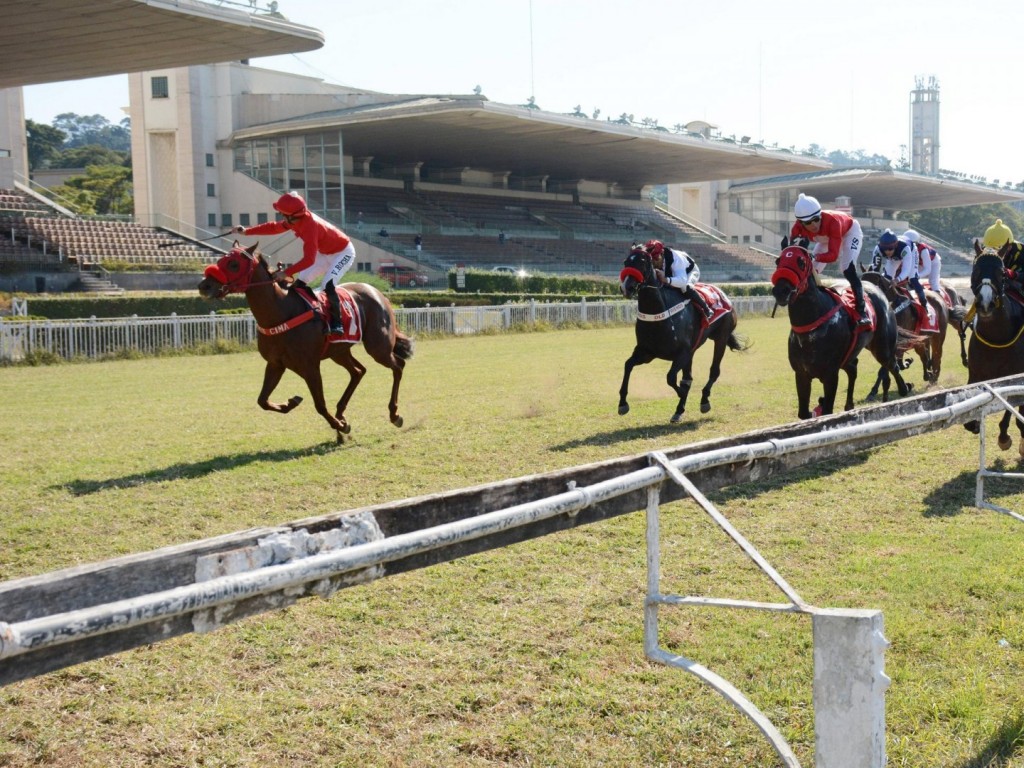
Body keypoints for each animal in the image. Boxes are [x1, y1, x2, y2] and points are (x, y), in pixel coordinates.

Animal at [195, 243, 411, 442]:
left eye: (233, 264)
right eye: (221, 260)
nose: (204, 286)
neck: (280, 312)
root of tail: (378, 293)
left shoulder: (310, 366)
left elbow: (320, 405)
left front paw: (341, 425)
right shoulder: (275, 364)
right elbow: (262, 400)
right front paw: (292, 403)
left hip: (378, 346)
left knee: (398, 365)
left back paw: (394, 414)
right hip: (338, 351)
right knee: (358, 371)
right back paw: (341, 413)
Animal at [610, 246, 749, 423]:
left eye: (642, 262)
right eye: (626, 262)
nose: (626, 287)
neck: (658, 314)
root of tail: (722, 293)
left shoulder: (682, 353)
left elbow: (671, 378)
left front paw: (682, 396)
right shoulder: (647, 352)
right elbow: (628, 365)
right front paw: (622, 404)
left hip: (721, 338)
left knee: (714, 371)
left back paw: (704, 400)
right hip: (694, 350)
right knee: (688, 377)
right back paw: (680, 409)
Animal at [770, 239, 913, 421]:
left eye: (801, 262)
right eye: (778, 261)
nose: (781, 290)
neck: (812, 327)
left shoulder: (830, 375)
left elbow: (827, 411)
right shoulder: (801, 374)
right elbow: (803, 414)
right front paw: (816, 407)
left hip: (883, 349)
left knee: (892, 366)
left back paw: (903, 388)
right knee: (853, 368)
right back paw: (851, 404)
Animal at [962, 243, 1024, 454]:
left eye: (1001, 272)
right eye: (975, 271)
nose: (985, 303)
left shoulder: (1015, 376)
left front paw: (1004, 436)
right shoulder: (976, 373)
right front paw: (973, 423)